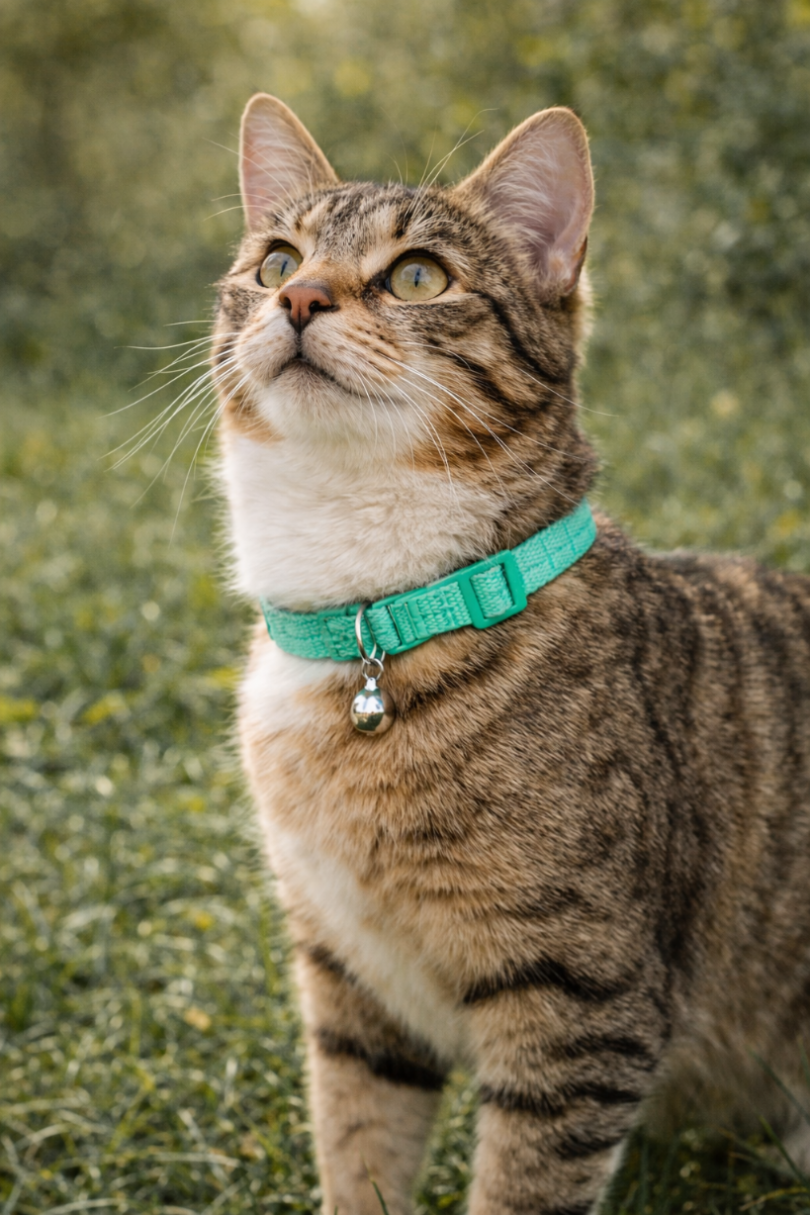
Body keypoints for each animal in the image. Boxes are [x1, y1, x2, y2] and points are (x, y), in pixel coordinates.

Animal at [212, 93, 810, 1215]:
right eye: (275, 261)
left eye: (418, 275)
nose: (301, 297)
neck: (373, 617)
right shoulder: (349, 981)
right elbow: (357, 1148)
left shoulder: (579, 999)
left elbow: (520, 1185)